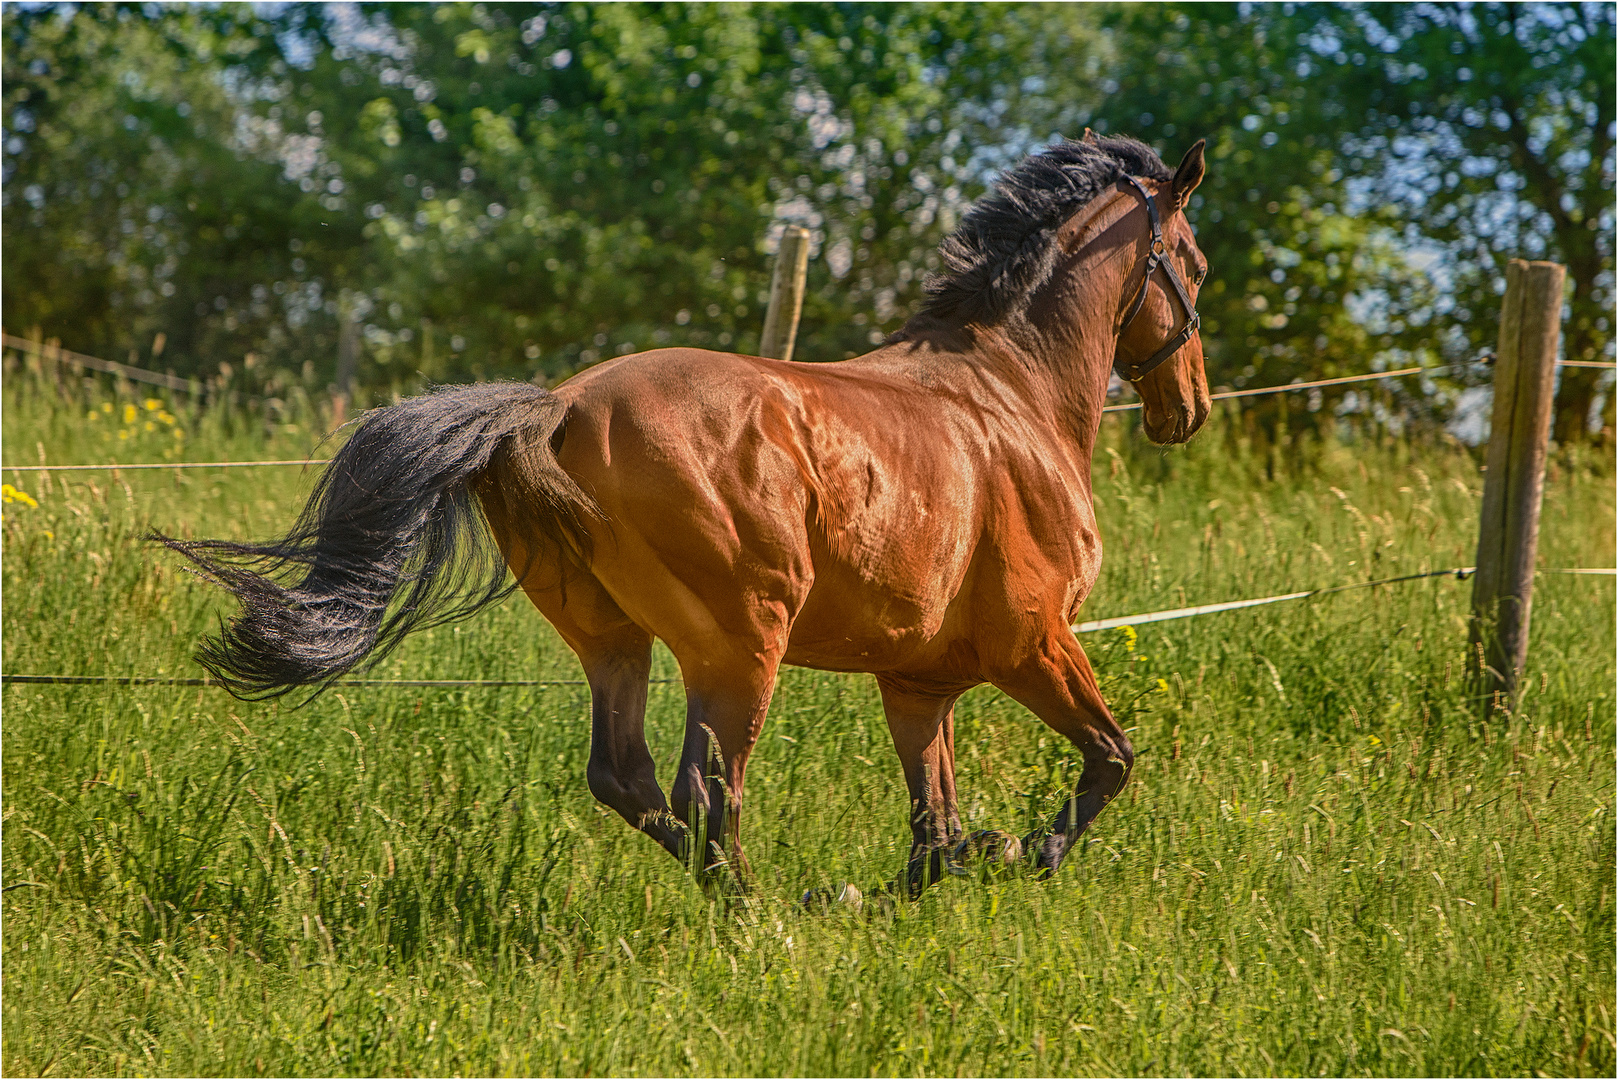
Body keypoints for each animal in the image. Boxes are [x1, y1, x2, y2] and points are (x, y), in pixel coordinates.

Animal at [157, 132, 1210, 893]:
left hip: (612, 635)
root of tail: (559, 410)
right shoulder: (1035, 642)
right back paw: (761, 917)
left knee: (625, 778)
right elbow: (1111, 760)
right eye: (1194, 265)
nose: (1188, 409)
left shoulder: (919, 683)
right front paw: (1025, 851)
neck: (1004, 397)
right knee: (709, 789)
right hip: (740, 647)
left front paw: (943, 874)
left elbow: (934, 824)